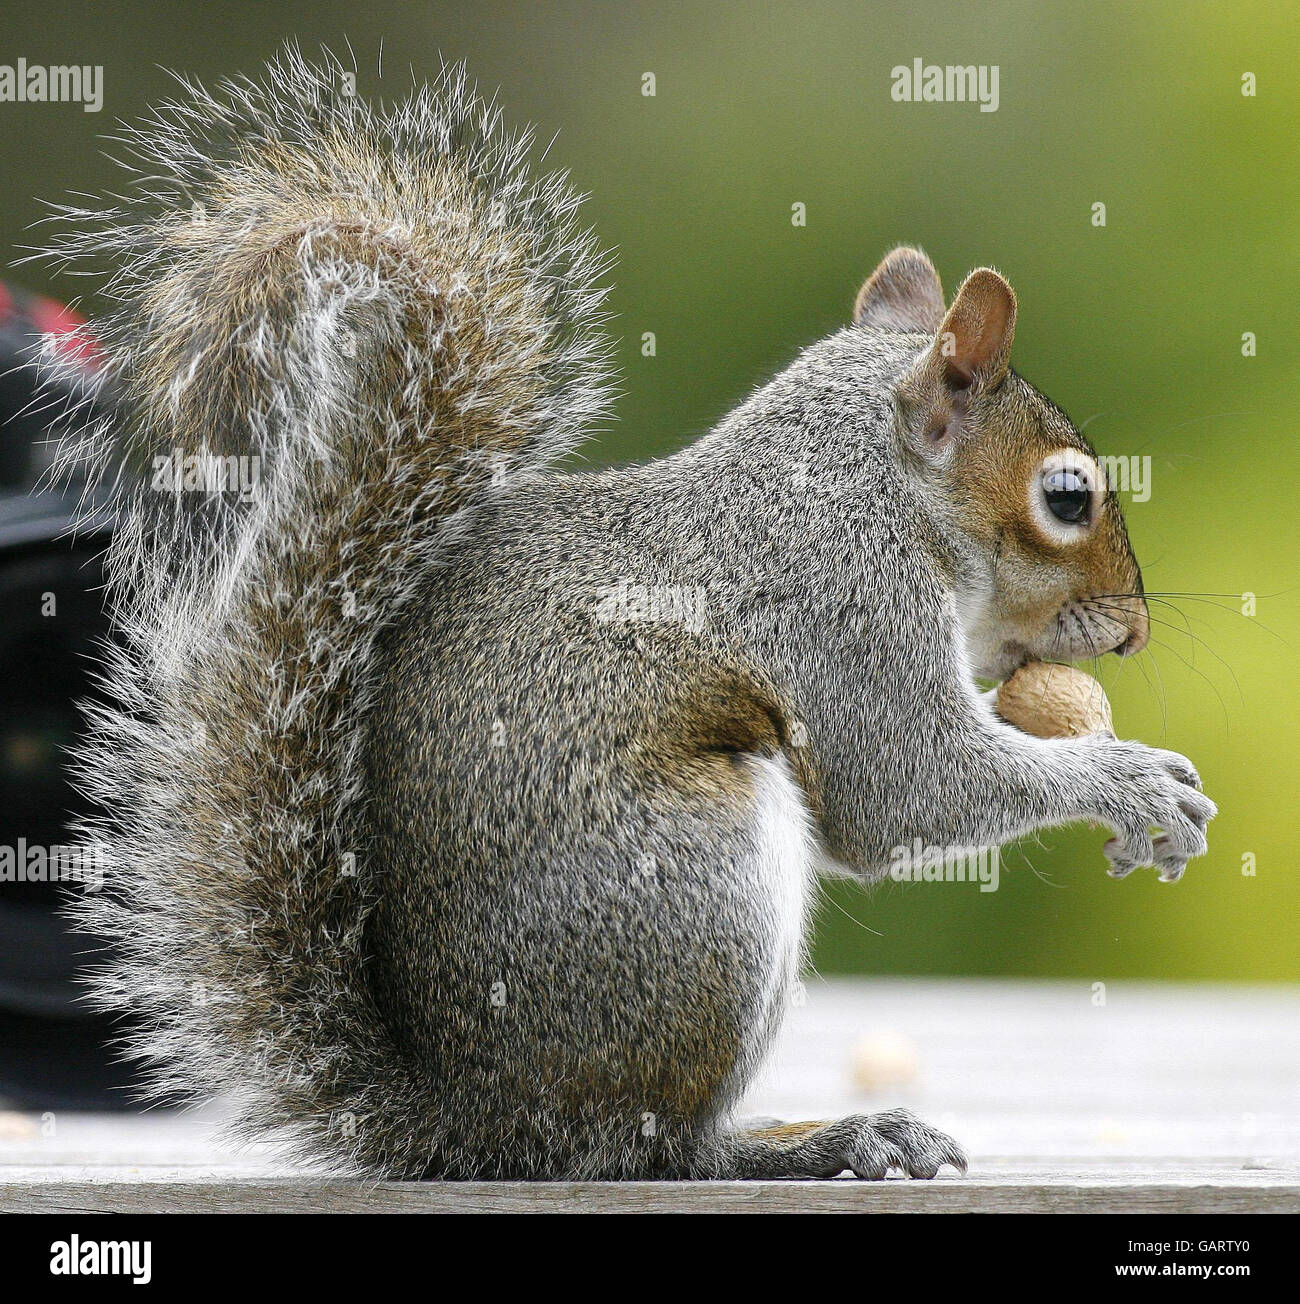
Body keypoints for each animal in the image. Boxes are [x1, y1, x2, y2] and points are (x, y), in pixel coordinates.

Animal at [47, 48, 1215, 1181]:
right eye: (1065, 497)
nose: (1134, 631)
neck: (861, 485)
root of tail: (473, 1121)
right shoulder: (846, 605)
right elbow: (906, 788)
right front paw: (1132, 781)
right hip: (697, 891)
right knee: (651, 1144)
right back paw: (812, 1141)